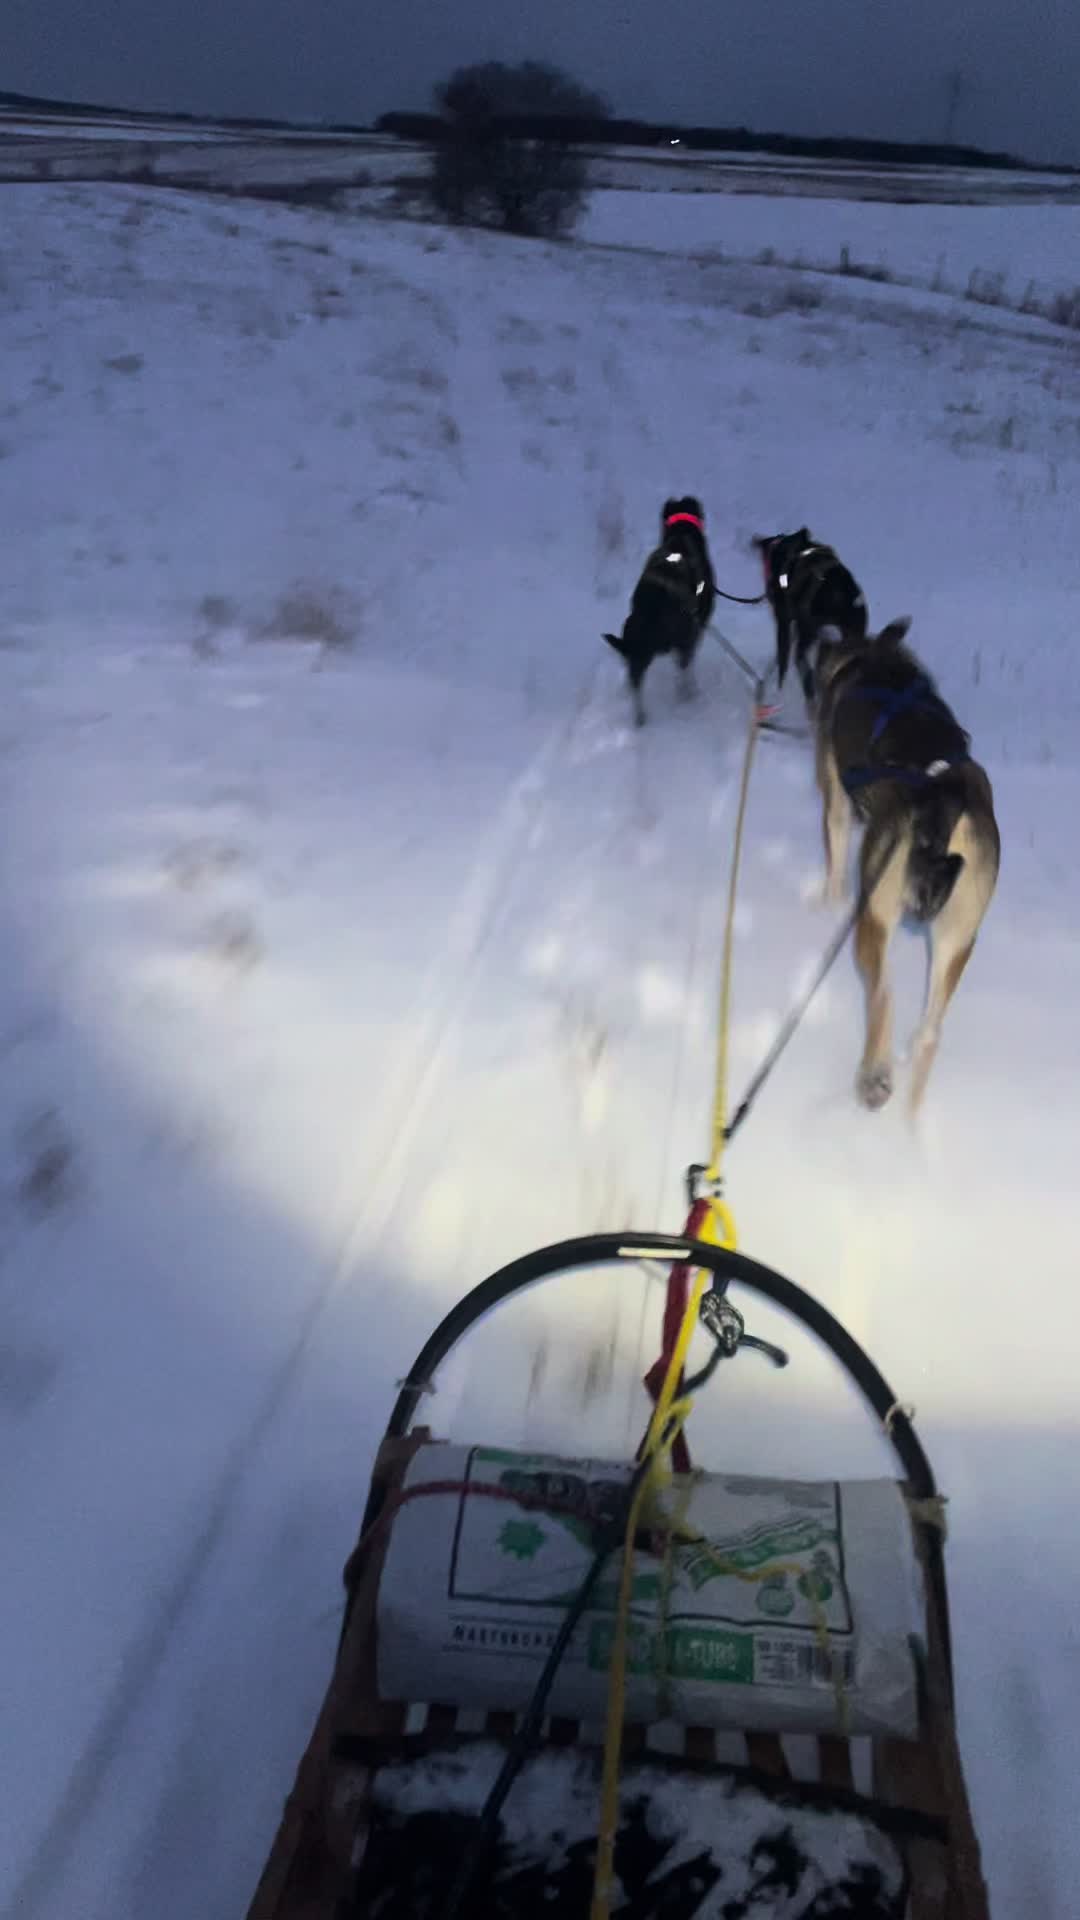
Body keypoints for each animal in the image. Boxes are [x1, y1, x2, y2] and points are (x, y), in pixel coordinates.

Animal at [810, 618, 999, 1113]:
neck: (872, 658)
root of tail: (944, 799)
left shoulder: (835, 801)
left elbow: (835, 857)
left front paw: (828, 900)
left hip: (876, 914)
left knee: (883, 994)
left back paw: (874, 1079)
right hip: (959, 934)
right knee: (930, 1030)